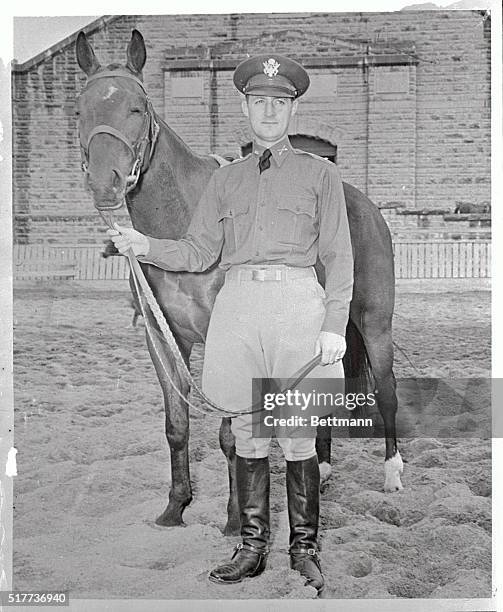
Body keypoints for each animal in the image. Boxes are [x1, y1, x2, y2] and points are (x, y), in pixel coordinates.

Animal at [76, 31, 406, 532]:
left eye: (138, 106)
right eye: (81, 109)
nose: (104, 183)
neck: (185, 222)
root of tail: (364, 205)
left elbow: (231, 434)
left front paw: (235, 519)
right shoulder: (162, 339)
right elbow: (177, 426)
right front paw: (175, 507)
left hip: (374, 324)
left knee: (386, 392)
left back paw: (392, 474)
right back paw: (324, 469)